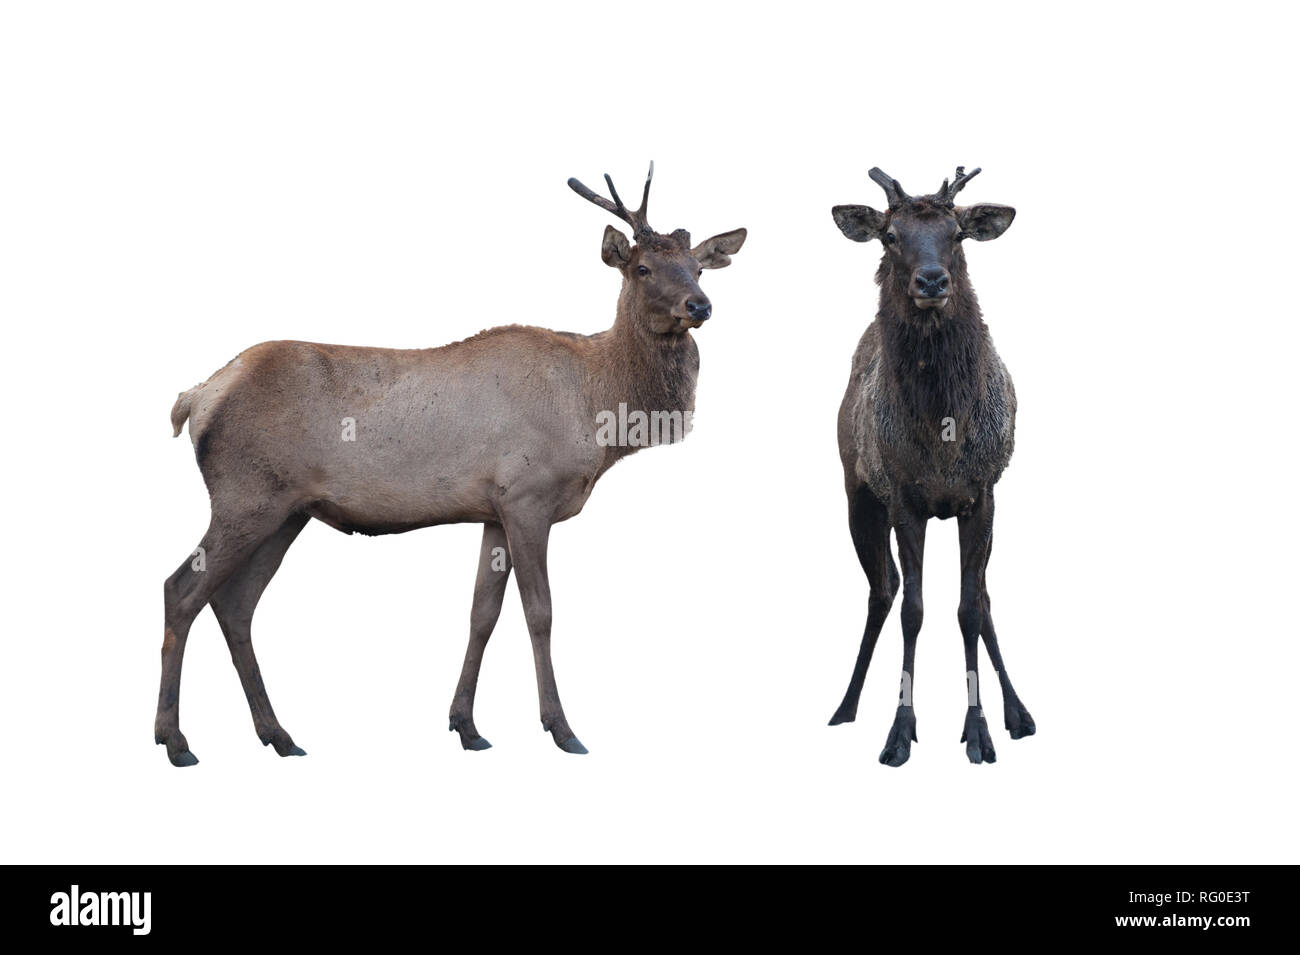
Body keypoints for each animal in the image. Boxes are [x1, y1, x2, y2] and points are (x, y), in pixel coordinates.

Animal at [157, 160, 748, 764]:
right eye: (643, 267)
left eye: (699, 268)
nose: (698, 306)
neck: (599, 409)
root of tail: (196, 397)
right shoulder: (529, 496)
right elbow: (540, 611)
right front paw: (561, 728)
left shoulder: (493, 509)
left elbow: (481, 615)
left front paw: (466, 725)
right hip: (244, 497)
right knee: (181, 591)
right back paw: (176, 741)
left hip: (287, 511)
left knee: (235, 604)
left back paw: (278, 735)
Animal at [832, 162, 1034, 764]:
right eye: (889, 236)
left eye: (958, 234)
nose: (931, 282)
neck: (943, 433)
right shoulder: (903, 498)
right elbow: (912, 609)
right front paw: (899, 731)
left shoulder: (982, 493)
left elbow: (970, 608)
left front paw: (980, 730)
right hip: (857, 496)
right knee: (882, 589)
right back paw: (845, 705)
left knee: (984, 596)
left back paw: (1019, 711)